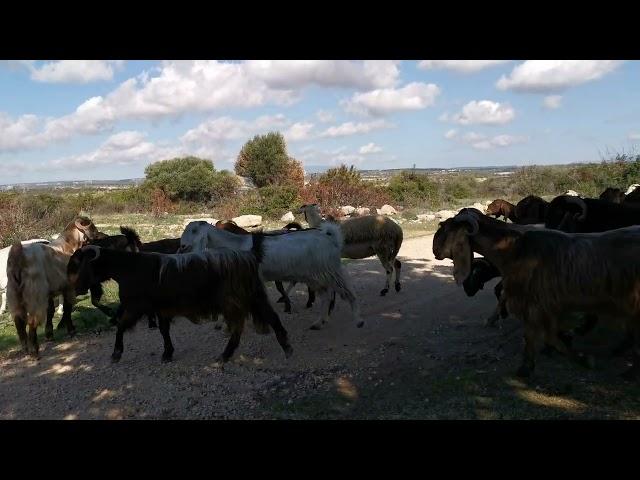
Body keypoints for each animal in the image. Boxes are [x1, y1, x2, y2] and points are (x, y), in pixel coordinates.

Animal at [67, 244, 292, 364]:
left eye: (78, 263)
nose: (76, 288)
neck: (128, 269)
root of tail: (248, 257)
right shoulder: (161, 309)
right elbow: (164, 331)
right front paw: (167, 353)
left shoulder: (136, 307)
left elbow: (121, 326)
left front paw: (116, 354)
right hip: (254, 296)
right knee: (272, 318)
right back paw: (286, 347)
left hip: (233, 301)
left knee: (238, 327)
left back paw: (225, 355)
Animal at [180, 220, 362, 330]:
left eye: (194, 230)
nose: (181, 246)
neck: (237, 245)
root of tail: (331, 238)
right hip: (316, 275)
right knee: (326, 295)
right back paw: (318, 322)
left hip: (330, 270)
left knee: (348, 291)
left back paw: (358, 320)